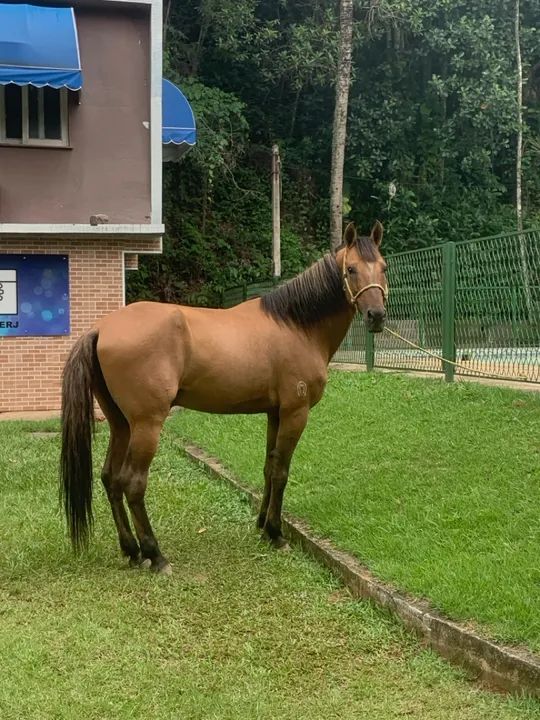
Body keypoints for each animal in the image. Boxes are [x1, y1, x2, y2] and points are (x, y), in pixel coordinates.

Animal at [60, 222, 388, 574]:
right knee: (132, 483)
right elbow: (282, 471)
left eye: (383, 267)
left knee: (110, 479)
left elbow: (269, 467)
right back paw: (155, 555)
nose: (376, 316)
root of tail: (101, 329)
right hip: (146, 425)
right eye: (351, 269)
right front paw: (277, 533)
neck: (296, 326)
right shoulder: (295, 412)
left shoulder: (275, 413)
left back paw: (132, 550)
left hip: (121, 423)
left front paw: (262, 526)